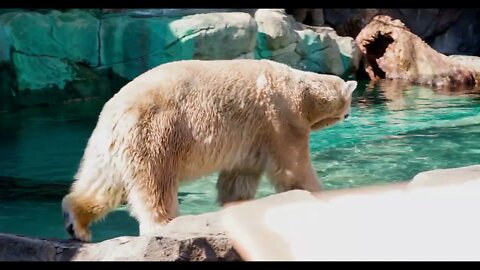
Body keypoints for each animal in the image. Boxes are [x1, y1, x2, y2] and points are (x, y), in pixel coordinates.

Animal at [62, 58, 356, 240]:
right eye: (349, 101)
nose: (349, 115)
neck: (300, 89)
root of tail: (115, 110)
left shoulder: (251, 135)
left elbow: (239, 176)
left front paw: (237, 205)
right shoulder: (280, 118)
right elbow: (294, 168)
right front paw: (322, 197)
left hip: (108, 146)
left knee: (101, 185)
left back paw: (77, 224)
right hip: (156, 132)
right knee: (155, 182)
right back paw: (164, 224)